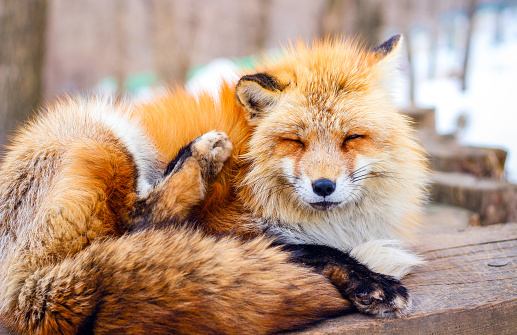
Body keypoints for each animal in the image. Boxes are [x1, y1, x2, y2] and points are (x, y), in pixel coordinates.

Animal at [1, 35, 428, 334]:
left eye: (352, 138)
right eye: (295, 141)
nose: (323, 186)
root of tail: (20, 293)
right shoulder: (225, 226)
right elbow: (316, 250)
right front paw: (370, 280)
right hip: (101, 132)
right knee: (137, 221)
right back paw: (200, 157)